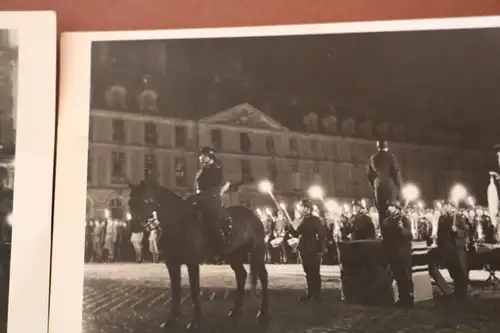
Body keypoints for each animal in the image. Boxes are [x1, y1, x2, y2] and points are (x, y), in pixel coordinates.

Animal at [128, 180, 270, 330]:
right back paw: (235, 312)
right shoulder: (172, 264)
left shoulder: (192, 263)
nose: (135, 227)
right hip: (233, 256)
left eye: (145, 201)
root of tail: (254, 216)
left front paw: (196, 320)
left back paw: (263, 315)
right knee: (241, 276)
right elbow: (175, 290)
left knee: (263, 277)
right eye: (130, 202)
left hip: (257, 253)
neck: (179, 223)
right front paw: (171, 319)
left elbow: (194, 290)